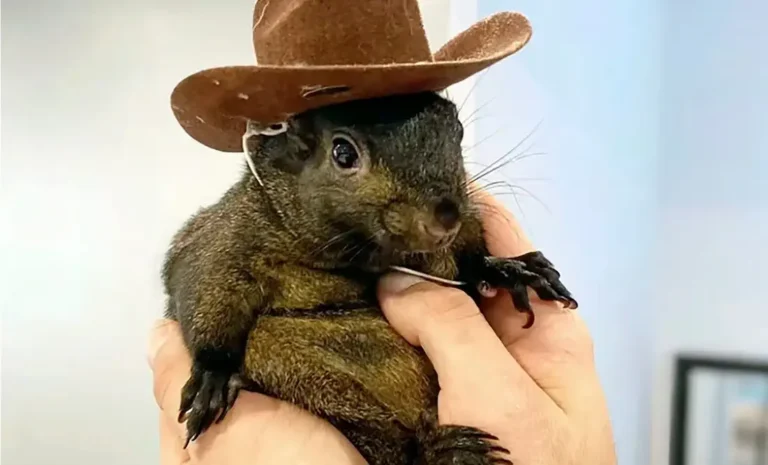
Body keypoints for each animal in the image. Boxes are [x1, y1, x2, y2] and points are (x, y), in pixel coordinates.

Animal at [162, 91, 577, 465]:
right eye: (343, 153)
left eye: (457, 131)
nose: (446, 218)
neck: (360, 255)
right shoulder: (226, 238)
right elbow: (205, 284)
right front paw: (213, 374)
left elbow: (470, 262)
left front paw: (507, 269)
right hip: (290, 365)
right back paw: (440, 451)